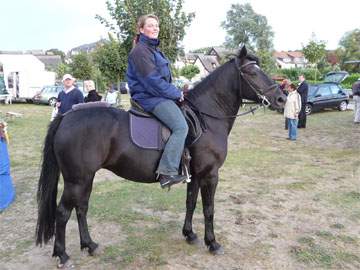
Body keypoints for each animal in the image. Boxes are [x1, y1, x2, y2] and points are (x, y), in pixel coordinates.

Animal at [35, 45, 286, 266]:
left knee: (81, 207)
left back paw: (89, 245)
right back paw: (63, 255)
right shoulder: (210, 174)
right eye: (252, 72)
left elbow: (190, 202)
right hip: (76, 180)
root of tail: (66, 117)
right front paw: (212, 243)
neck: (206, 117)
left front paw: (189, 234)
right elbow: (208, 209)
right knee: (62, 213)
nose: (282, 99)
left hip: (86, 179)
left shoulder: (195, 175)